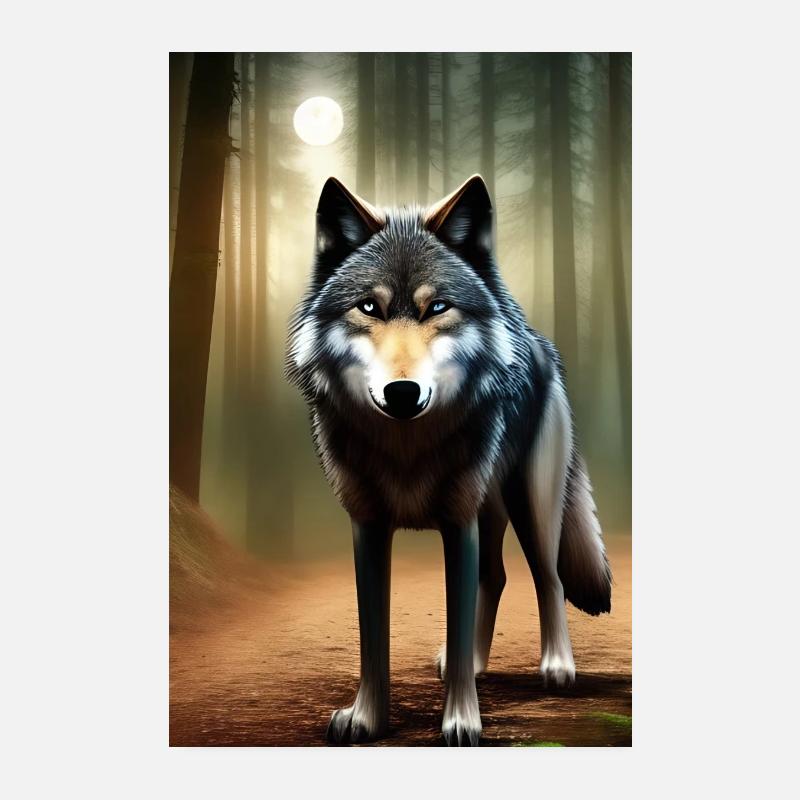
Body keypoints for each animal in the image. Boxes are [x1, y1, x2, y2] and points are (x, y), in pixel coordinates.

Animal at [286, 175, 612, 746]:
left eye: (437, 308)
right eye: (368, 308)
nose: (402, 392)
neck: (406, 448)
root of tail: (539, 341)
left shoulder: (458, 524)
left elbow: (458, 621)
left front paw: (462, 721)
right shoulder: (368, 528)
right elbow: (373, 637)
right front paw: (367, 719)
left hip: (530, 504)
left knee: (548, 578)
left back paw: (556, 666)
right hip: (491, 510)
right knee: (496, 578)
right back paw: (483, 665)